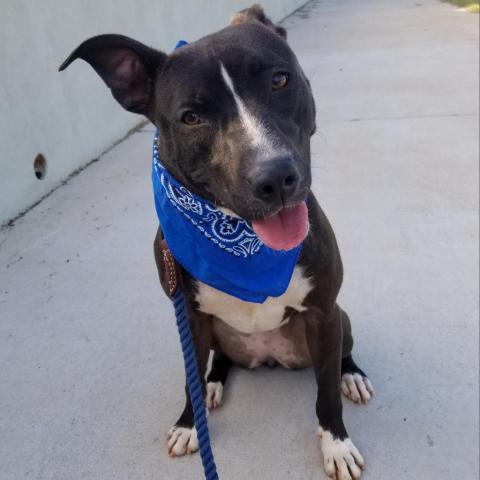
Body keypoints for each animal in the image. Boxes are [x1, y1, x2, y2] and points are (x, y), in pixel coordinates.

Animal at [60, 4, 374, 480]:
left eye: (279, 80)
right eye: (191, 117)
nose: (275, 177)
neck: (238, 239)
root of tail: (270, 356)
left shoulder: (322, 312)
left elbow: (325, 393)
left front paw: (336, 443)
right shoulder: (188, 317)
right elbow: (188, 376)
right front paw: (189, 424)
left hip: (339, 317)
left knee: (338, 357)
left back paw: (350, 374)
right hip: (217, 331)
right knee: (215, 361)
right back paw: (212, 383)